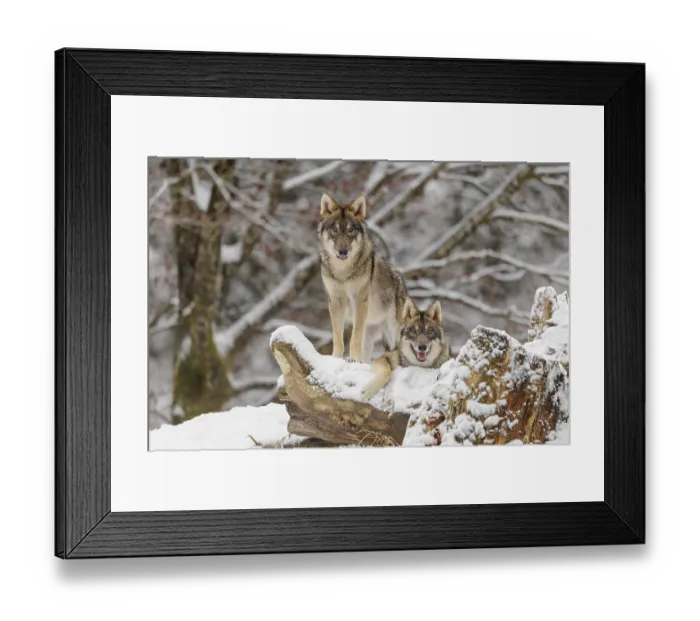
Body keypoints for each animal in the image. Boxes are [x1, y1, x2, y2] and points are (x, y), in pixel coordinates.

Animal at [318, 193, 407, 363]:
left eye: (351, 230)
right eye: (334, 230)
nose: (343, 251)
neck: (343, 273)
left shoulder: (359, 300)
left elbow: (354, 337)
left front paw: (353, 359)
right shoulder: (335, 302)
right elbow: (337, 336)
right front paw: (335, 358)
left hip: (394, 331)